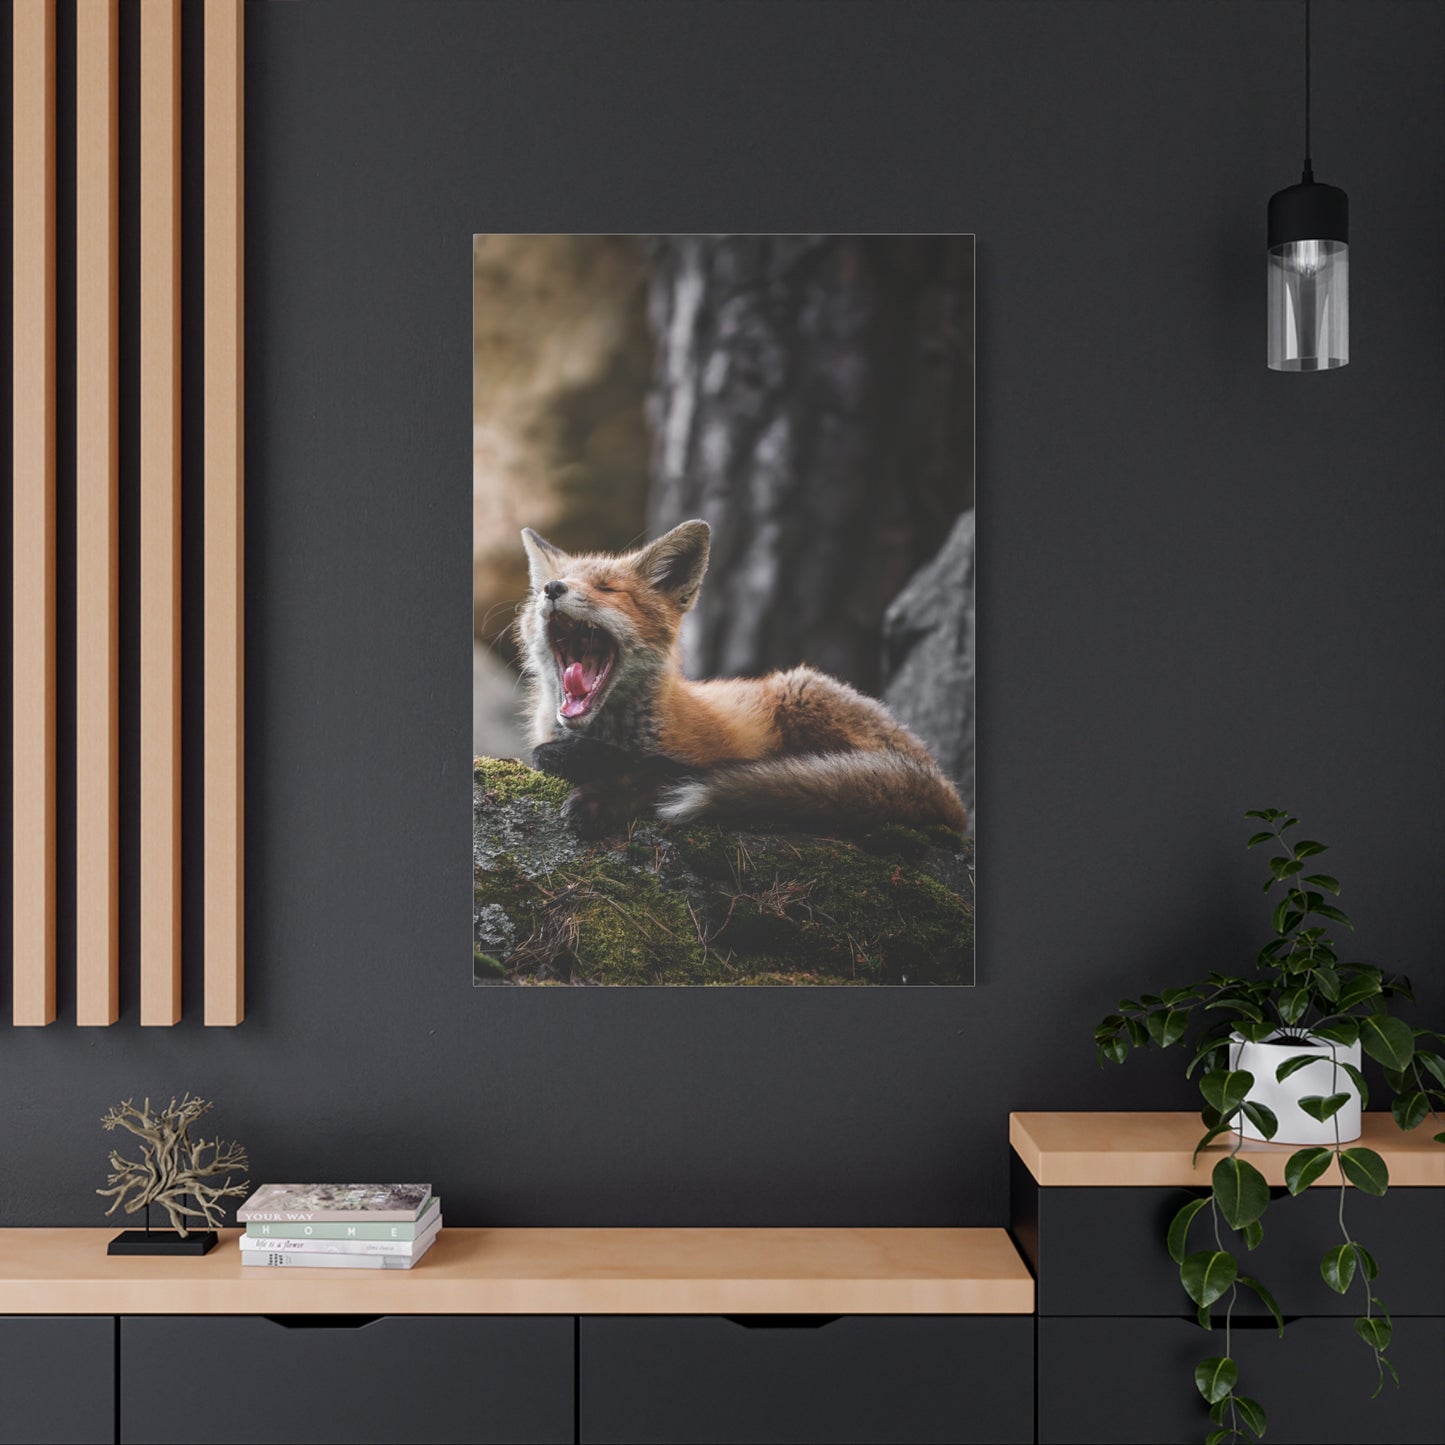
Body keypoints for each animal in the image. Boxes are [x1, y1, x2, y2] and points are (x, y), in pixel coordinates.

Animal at [517, 518, 966, 838]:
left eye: (607, 589)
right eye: (543, 589)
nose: (553, 589)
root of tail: (946, 785)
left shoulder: (704, 754)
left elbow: (661, 770)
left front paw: (599, 795)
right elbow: (548, 755)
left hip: (800, 691)